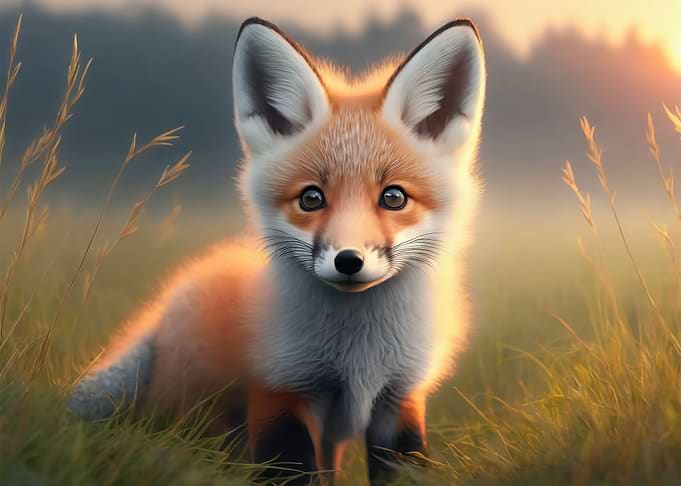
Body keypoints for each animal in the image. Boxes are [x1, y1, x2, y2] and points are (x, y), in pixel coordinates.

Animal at [68, 16, 486, 485]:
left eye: (394, 198)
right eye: (311, 198)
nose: (348, 261)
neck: (358, 357)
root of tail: (171, 299)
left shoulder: (399, 402)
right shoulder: (280, 392)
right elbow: (292, 472)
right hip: (196, 418)